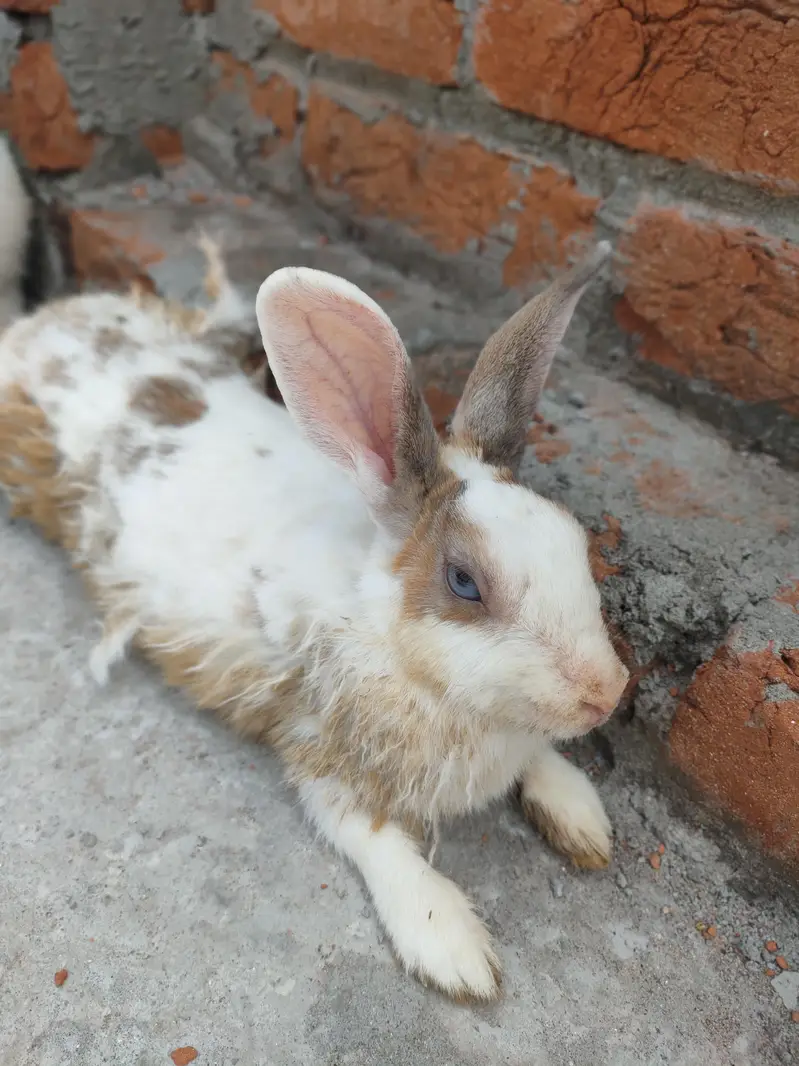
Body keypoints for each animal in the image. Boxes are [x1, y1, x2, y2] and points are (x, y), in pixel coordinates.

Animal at [0, 228, 629, 1002]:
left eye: (576, 540)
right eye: (464, 583)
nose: (606, 695)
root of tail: (41, 324)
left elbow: (541, 760)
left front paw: (581, 819)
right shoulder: (317, 747)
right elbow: (376, 844)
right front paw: (452, 949)